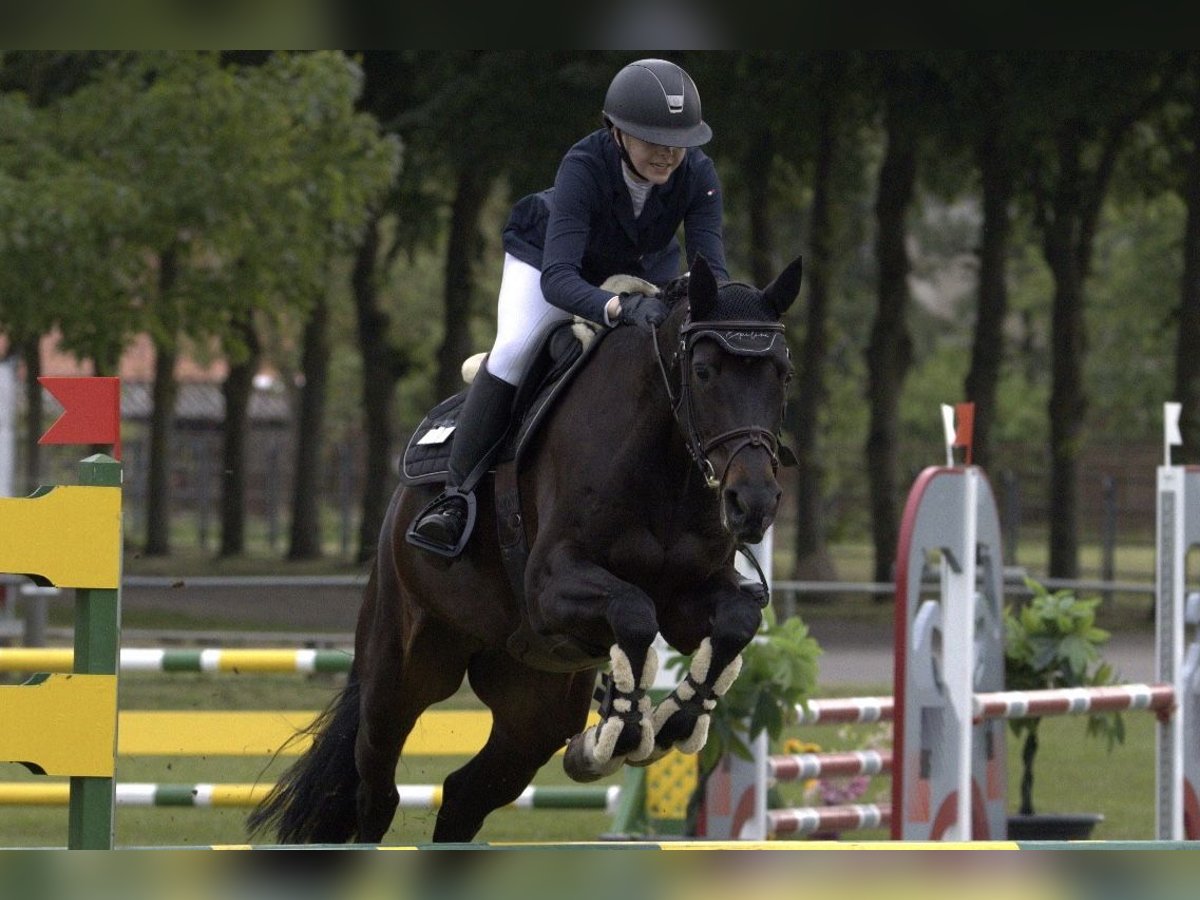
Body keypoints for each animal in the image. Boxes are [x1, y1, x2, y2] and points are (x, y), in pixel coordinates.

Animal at [248, 254, 801, 844]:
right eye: (702, 372)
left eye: (782, 374)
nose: (754, 503)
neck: (666, 462)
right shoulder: (550, 586)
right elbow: (633, 612)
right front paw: (624, 731)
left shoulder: (690, 596)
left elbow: (735, 621)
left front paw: (672, 719)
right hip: (401, 672)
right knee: (374, 789)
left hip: (533, 707)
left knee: (464, 796)